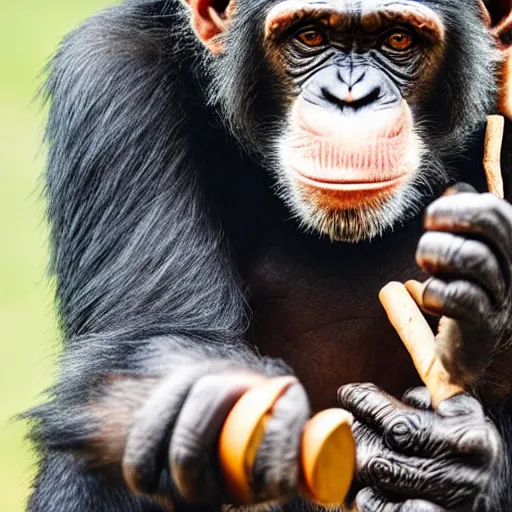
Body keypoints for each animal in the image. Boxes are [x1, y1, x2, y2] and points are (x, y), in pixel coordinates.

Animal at [27, 0, 512, 510]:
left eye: (398, 40)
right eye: (310, 37)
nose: (351, 96)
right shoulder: (111, 79)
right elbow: (153, 332)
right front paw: (206, 391)